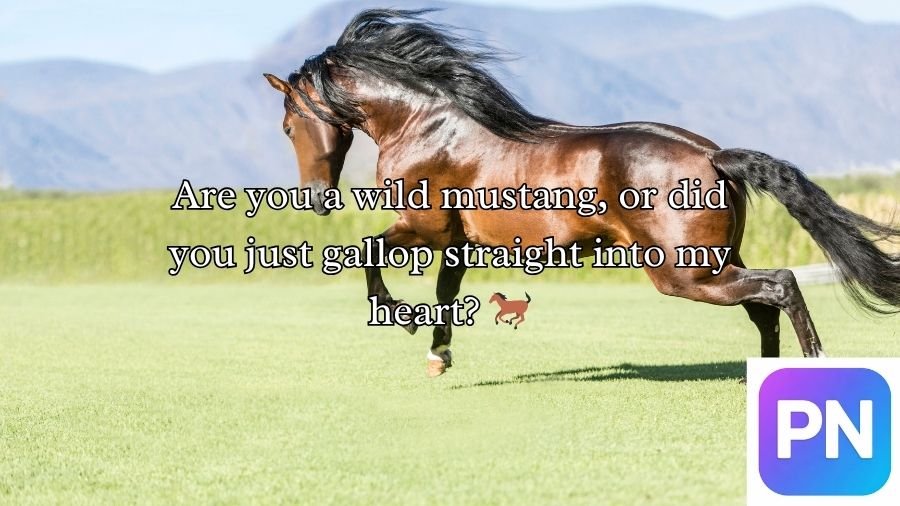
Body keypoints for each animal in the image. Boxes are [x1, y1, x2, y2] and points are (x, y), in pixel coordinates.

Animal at [263, 9, 900, 377]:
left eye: (288, 126)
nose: (316, 197)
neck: (428, 124)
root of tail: (713, 155)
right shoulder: (461, 242)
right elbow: (446, 291)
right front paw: (438, 355)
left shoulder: (425, 227)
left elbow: (367, 251)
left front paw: (401, 318)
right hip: (716, 262)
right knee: (764, 307)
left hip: (682, 273)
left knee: (781, 285)